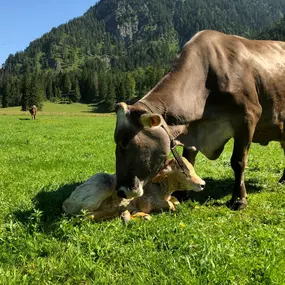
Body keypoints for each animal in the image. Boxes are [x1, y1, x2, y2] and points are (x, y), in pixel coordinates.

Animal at [62, 156, 204, 221]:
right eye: (183, 172)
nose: (203, 184)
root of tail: (67, 201)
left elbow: (175, 201)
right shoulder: (146, 201)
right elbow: (170, 204)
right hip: (102, 183)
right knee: (85, 215)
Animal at [113, 30, 284, 210]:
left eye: (124, 142)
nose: (121, 191)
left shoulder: (247, 118)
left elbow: (238, 162)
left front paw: (239, 199)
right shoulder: (192, 130)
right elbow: (188, 160)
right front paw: (182, 193)